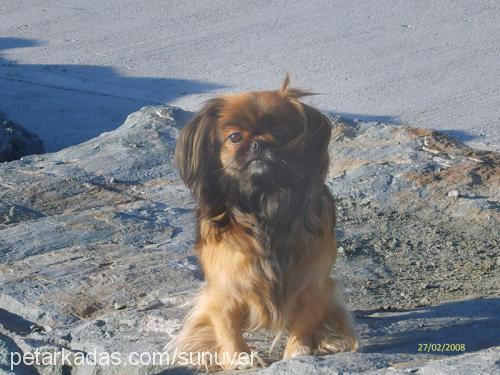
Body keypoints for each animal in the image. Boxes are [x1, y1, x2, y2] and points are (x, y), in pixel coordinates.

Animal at [170, 76, 358, 370]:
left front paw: (299, 350)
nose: (259, 144)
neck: (264, 205)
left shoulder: (312, 281)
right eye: (235, 137)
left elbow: (306, 317)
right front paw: (240, 357)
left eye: (280, 134)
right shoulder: (225, 286)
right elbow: (227, 325)